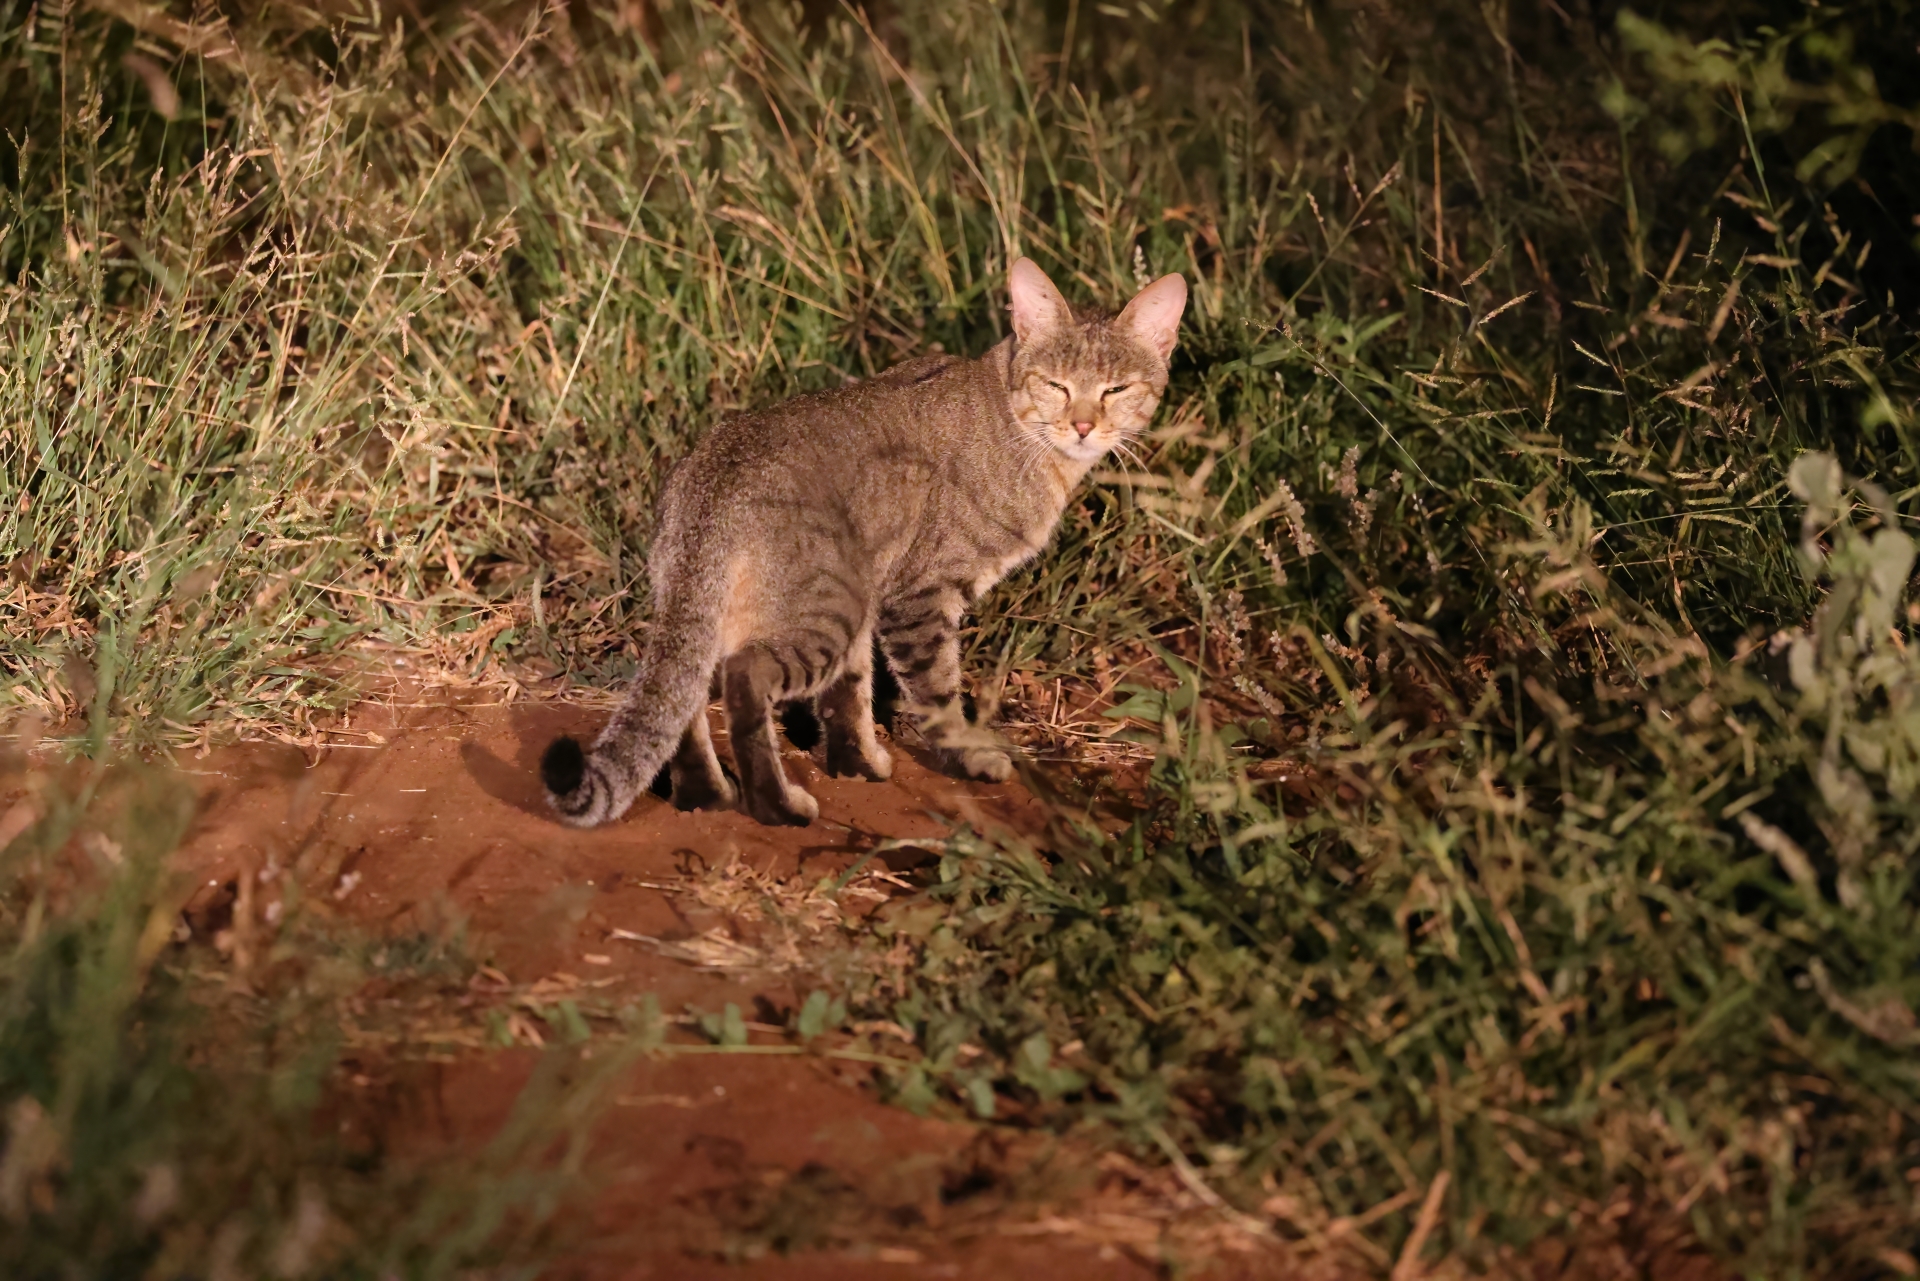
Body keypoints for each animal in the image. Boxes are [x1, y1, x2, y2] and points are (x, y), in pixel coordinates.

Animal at [541, 257, 1190, 833]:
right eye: (1057, 385)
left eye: (1116, 389)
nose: (1082, 426)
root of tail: (710, 485)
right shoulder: (920, 595)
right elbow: (937, 694)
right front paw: (968, 757)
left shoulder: (878, 602)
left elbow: (849, 697)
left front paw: (860, 764)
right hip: (829, 605)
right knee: (744, 676)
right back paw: (777, 807)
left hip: (757, 607)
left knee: (688, 693)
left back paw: (705, 794)